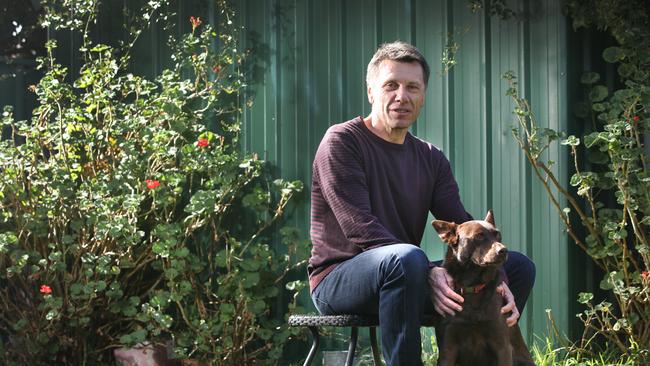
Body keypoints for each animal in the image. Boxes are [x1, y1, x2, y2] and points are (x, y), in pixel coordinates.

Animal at [430, 210, 532, 364]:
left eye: (498, 234)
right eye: (479, 236)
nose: (504, 250)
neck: (472, 286)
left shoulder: (502, 346)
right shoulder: (447, 348)